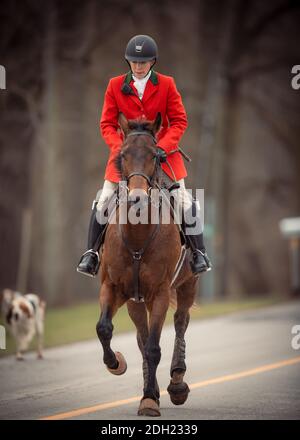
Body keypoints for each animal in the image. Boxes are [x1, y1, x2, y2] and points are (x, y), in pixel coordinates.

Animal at [96, 112, 199, 416]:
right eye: (123, 154)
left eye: (155, 155)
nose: (137, 198)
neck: (138, 234)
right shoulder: (113, 288)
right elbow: (104, 329)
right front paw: (117, 364)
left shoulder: (161, 293)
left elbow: (155, 348)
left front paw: (151, 400)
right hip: (136, 301)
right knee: (142, 338)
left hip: (187, 285)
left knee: (180, 323)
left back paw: (177, 382)